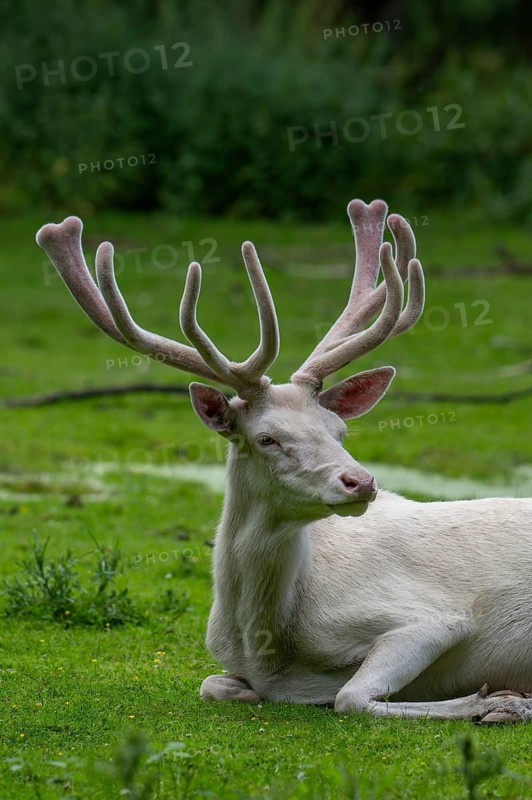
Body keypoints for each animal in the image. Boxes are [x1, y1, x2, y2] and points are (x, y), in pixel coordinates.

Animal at [36, 199, 532, 723]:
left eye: (340, 431)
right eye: (267, 438)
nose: (361, 482)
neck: (266, 641)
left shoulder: (431, 616)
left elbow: (351, 696)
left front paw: (502, 701)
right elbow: (213, 685)